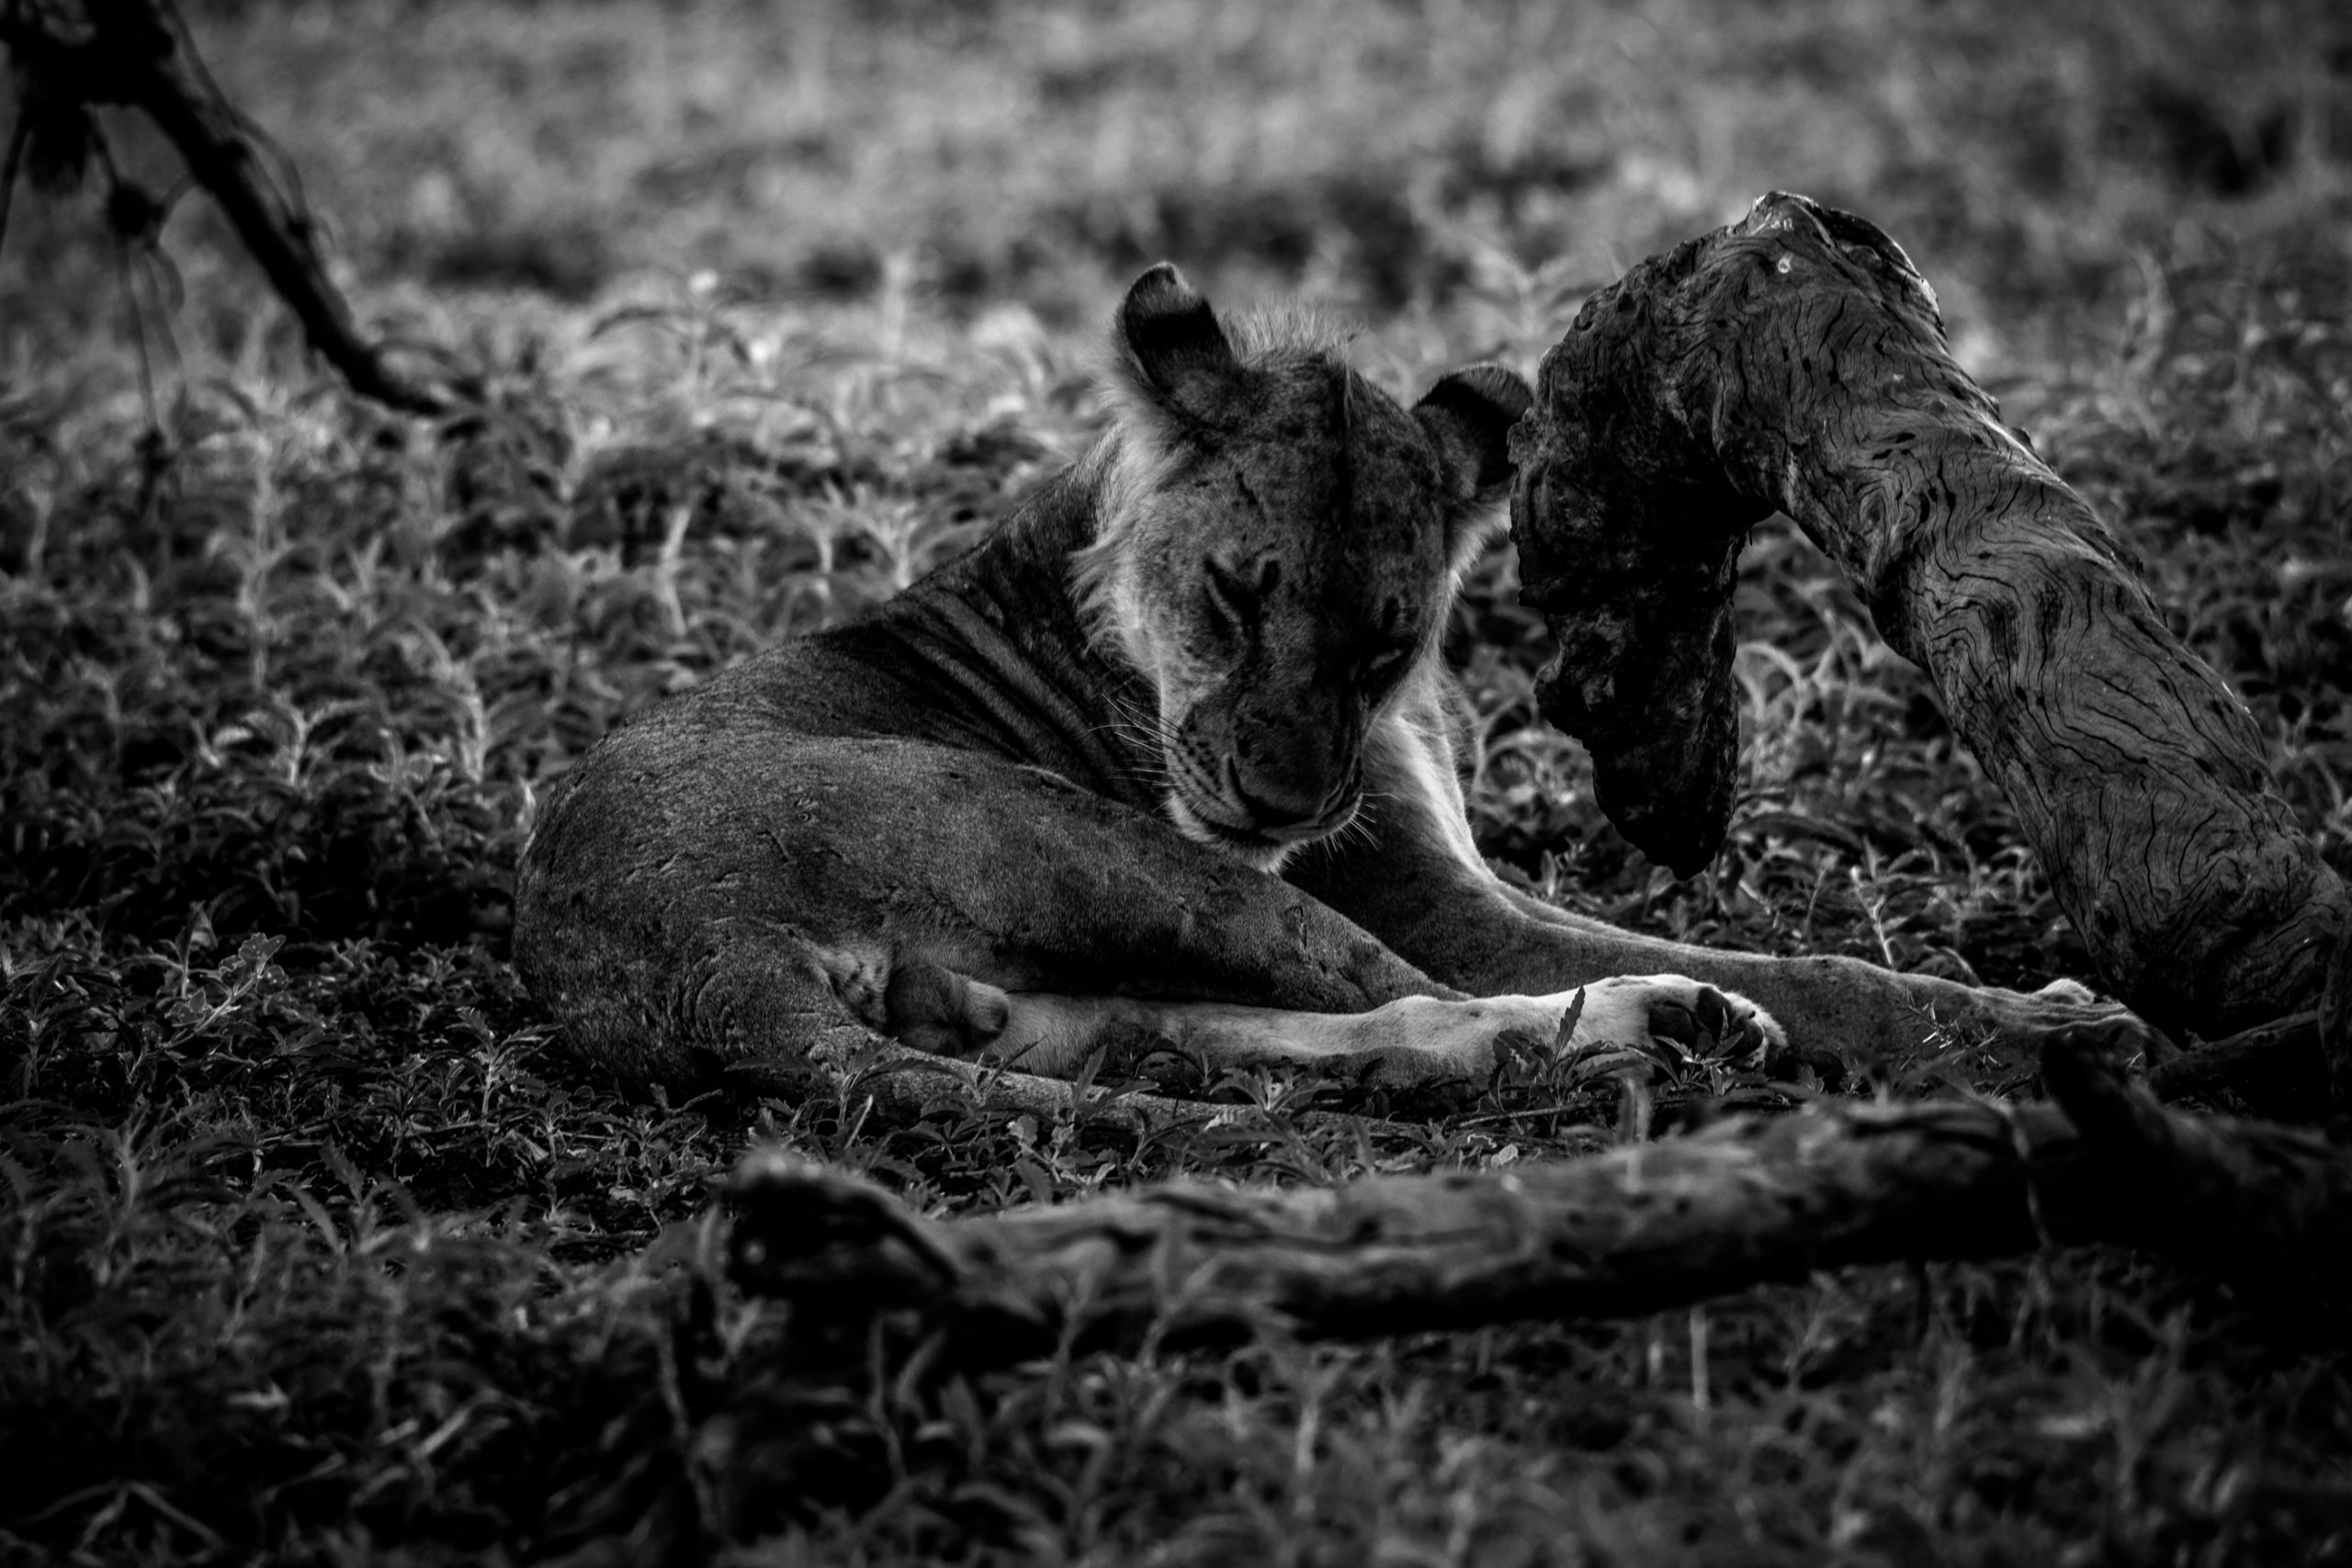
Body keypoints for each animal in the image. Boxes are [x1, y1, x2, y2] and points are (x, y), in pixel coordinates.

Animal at [513, 263, 2129, 1102]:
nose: (1284, 798)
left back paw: (1663, 1023)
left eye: (1385, 638)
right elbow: (1818, 969)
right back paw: (1684, 1019)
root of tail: (698, 964)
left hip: (1080, 971)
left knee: (1272, 1031)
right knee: (1416, 996)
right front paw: (2029, 1024)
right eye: (1239, 592)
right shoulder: (1427, 895)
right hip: (1104, 844)